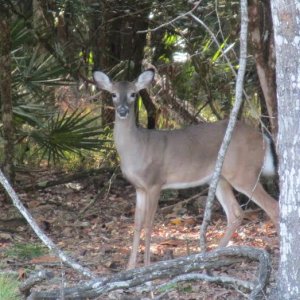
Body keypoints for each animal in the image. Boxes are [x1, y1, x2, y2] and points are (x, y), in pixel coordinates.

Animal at [93, 68, 278, 270]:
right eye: (113, 94)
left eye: (134, 94)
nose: (123, 110)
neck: (137, 148)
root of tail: (263, 138)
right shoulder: (139, 187)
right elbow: (137, 224)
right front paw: (129, 268)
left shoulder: (155, 182)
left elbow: (149, 224)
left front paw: (147, 266)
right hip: (221, 178)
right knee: (236, 213)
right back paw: (212, 256)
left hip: (244, 173)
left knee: (273, 207)